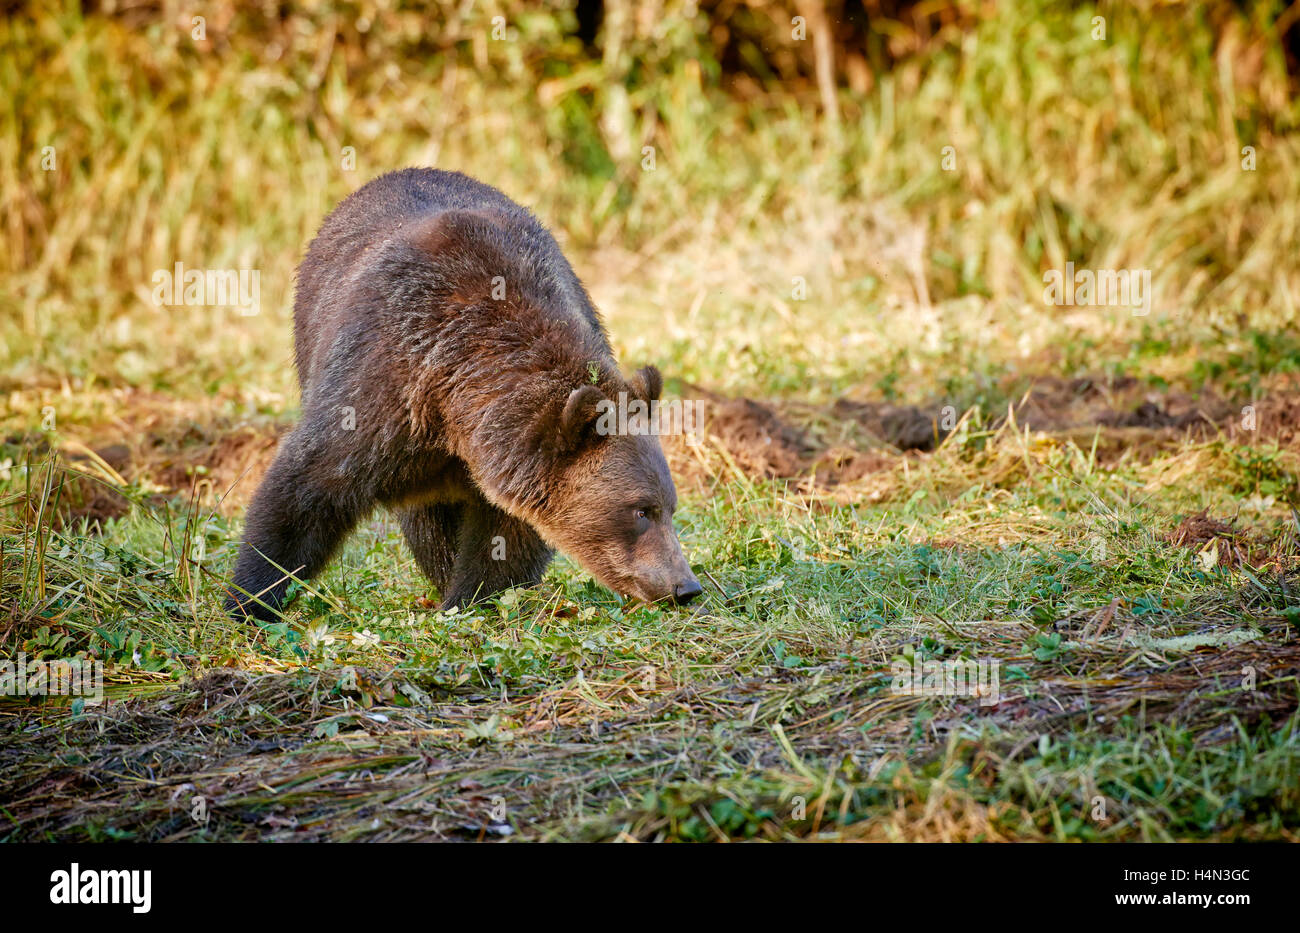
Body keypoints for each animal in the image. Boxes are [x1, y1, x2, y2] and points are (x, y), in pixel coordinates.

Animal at [228, 170, 707, 621]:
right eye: (641, 510)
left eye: (670, 506)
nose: (685, 586)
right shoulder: (380, 390)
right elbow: (308, 489)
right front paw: (250, 597)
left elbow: (504, 537)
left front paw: (473, 597)